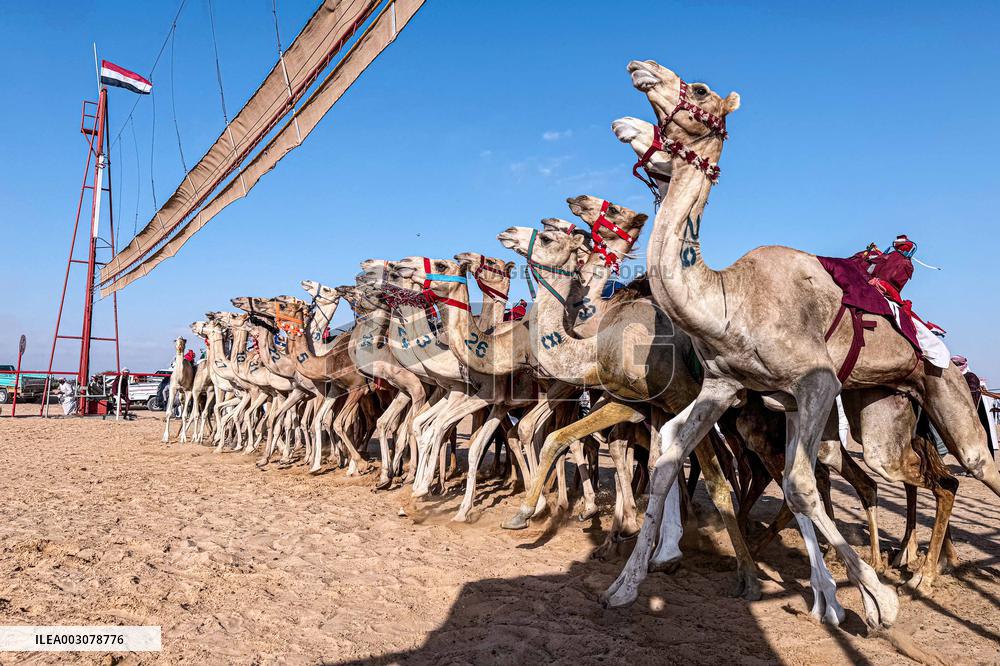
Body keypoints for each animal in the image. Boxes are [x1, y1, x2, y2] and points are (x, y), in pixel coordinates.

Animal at [600, 59, 999, 629]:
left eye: (698, 88)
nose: (642, 67)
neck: (729, 301)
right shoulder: (726, 387)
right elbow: (670, 452)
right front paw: (626, 584)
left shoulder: (816, 383)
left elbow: (800, 485)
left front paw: (876, 602)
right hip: (882, 413)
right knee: (913, 473)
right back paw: (918, 567)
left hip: (946, 391)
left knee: (971, 467)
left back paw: (919, 574)